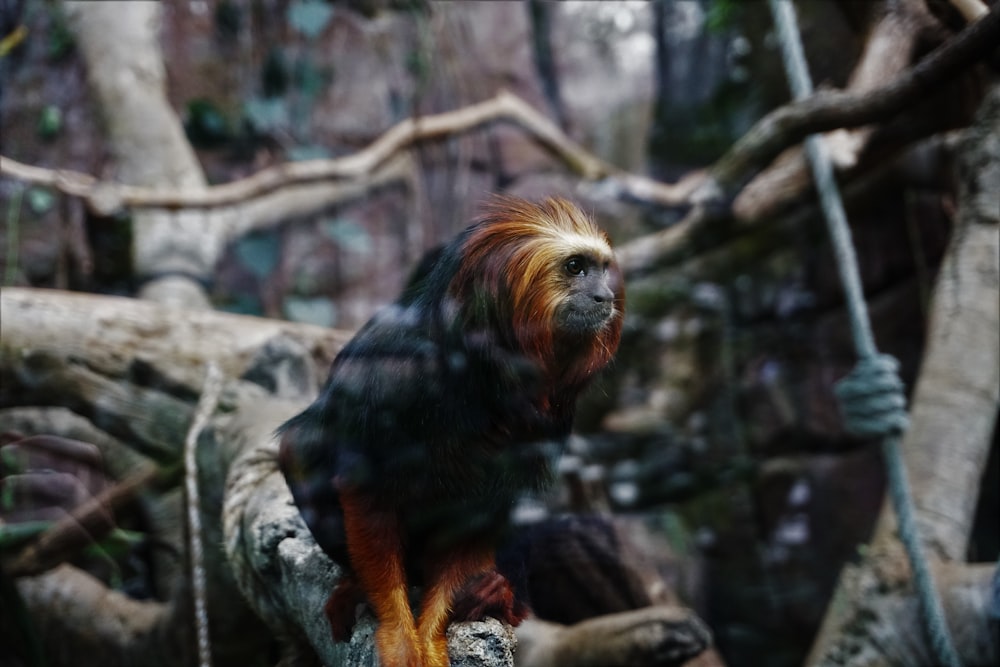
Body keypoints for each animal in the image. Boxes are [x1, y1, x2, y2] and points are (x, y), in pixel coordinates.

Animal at [278, 194, 620, 667]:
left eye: (602, 269)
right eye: (575, 267)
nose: (606, 296)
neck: (482, 372)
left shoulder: (548, 415)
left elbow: (486, 506)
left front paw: (433, 631)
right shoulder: (394, 376)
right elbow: (365, 487)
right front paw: (400, 632)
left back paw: (497, 593)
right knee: (302, 447)